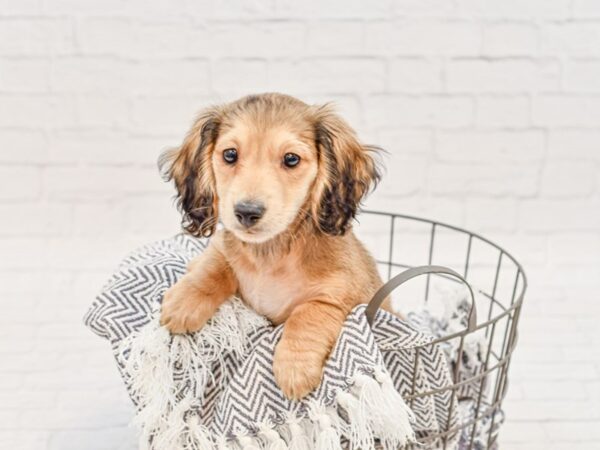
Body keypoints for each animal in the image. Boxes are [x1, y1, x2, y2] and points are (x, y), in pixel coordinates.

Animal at [161, 93, 390, 400]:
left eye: (291, 159)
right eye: (230, 154)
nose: (247, 212)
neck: (271, 255)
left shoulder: (345, 295)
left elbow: (309, 312)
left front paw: (295, 367)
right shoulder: (224, 251)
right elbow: (214, 264)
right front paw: (184, 301)